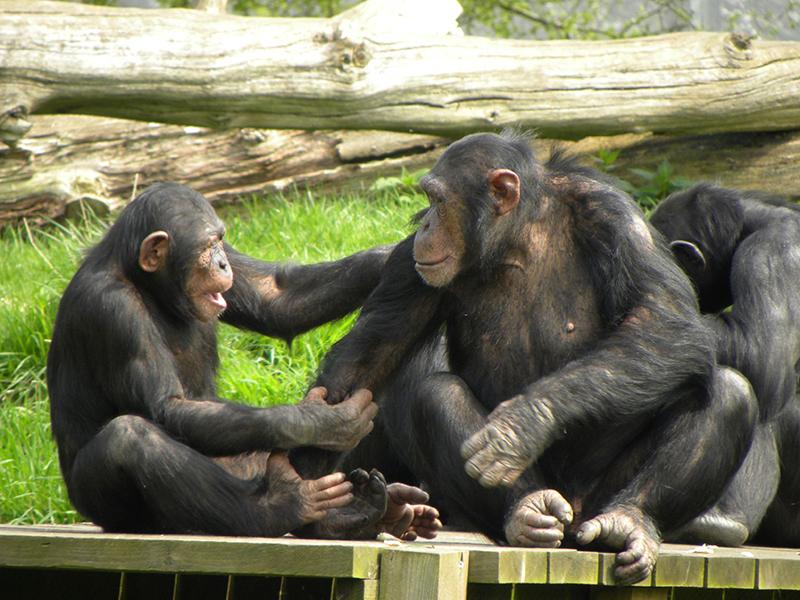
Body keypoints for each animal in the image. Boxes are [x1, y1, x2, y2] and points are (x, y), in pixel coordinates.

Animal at [47, 182, 440, 540]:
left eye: (220, 242)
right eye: (207, 247)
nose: (222, 262)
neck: (145, 284)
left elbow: (278, 298)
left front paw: (394, 254)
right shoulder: (113, 311)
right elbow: (166, 406)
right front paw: (324, 420)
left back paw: (381, 512)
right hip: (105, 506)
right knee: (130, 438)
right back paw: (285, 506)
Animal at [300, 132, 756, 584]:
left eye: (438, 200)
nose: (426, 222)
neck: (518, 236)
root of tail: (574, 522)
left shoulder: (619, 220)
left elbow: (664, 319)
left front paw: (521, 425)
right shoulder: (411, 263)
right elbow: (369, 355)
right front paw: (318, 490)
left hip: (601, 498)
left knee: (729, 391)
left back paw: (629, 522)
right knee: (434, 395)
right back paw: (528, 511)